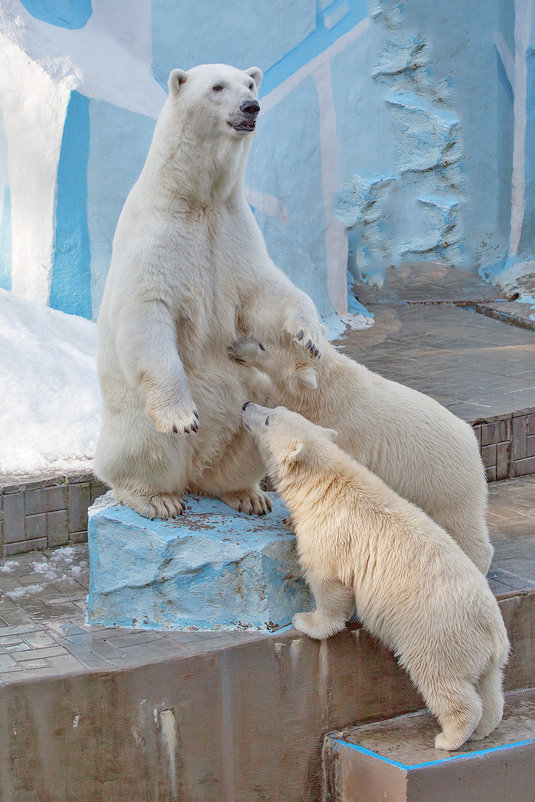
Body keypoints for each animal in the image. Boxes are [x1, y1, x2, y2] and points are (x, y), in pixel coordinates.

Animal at [95, 65, 322, 520]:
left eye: (249, 84)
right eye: (217, 87)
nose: (251, 107)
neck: (195, 199)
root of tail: (195, 468)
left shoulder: (233, 231)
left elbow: (262, 291)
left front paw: (308, 335)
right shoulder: (158, 237)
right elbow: (148, 309)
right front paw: (181, 417)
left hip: (246, 398)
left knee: (256, 428)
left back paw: (246, 494)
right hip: (133, 416)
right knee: (142, 449)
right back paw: (157, 497)